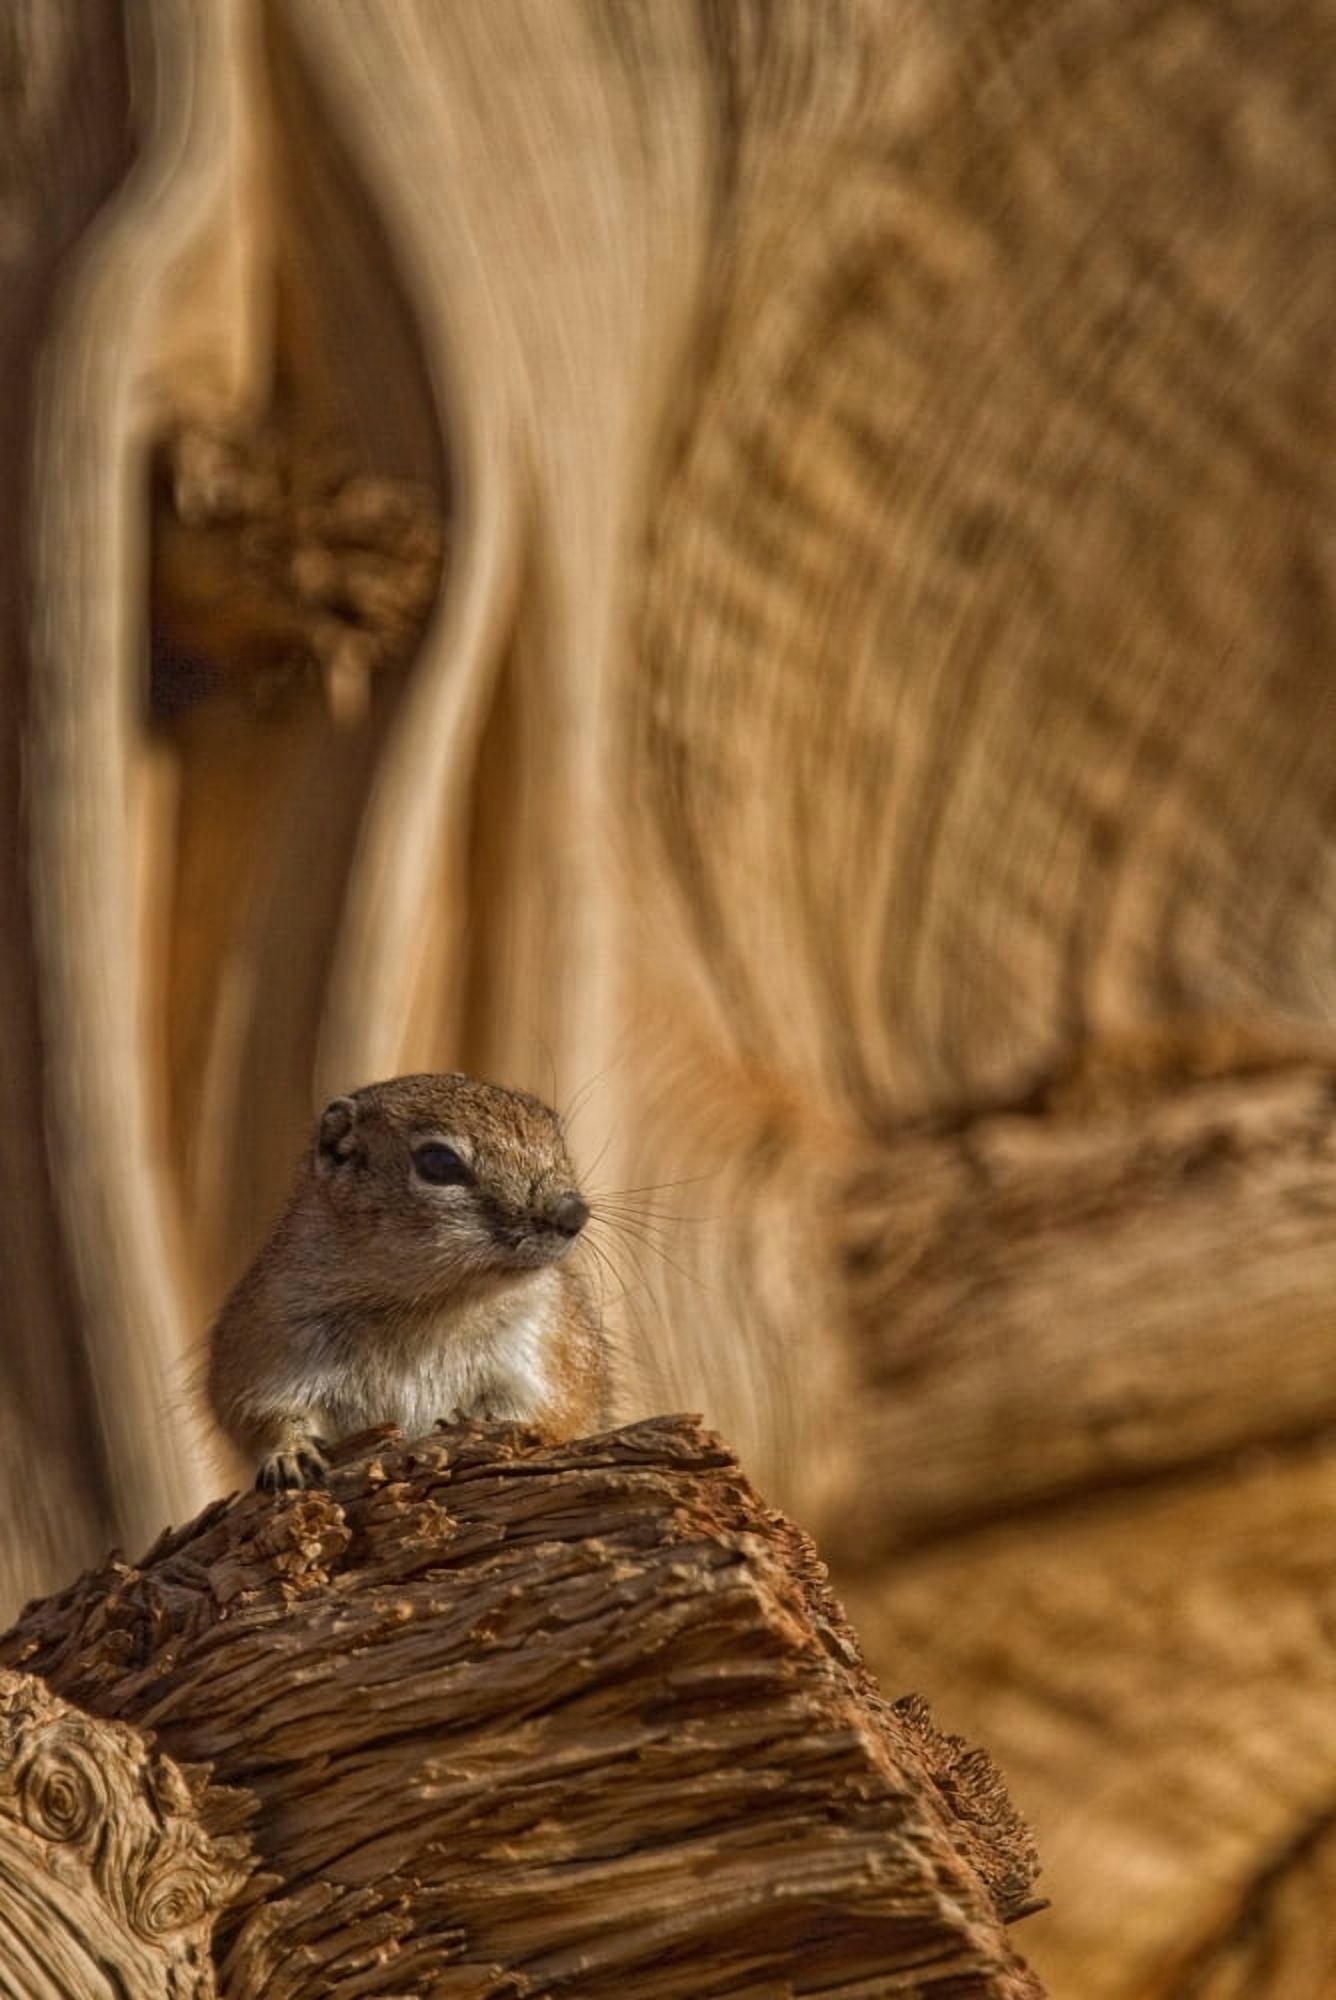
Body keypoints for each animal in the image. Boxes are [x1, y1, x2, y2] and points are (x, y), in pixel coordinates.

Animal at [207, 1073, 608, 1490]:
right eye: (439, 1162)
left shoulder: (551, 1351)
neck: (434, 1302)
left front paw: (476, 1419)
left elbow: (553, 1414)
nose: (573, 1213)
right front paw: (291, 1453)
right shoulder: (270, 1341)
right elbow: (260, 1414)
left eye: (557, 1135)